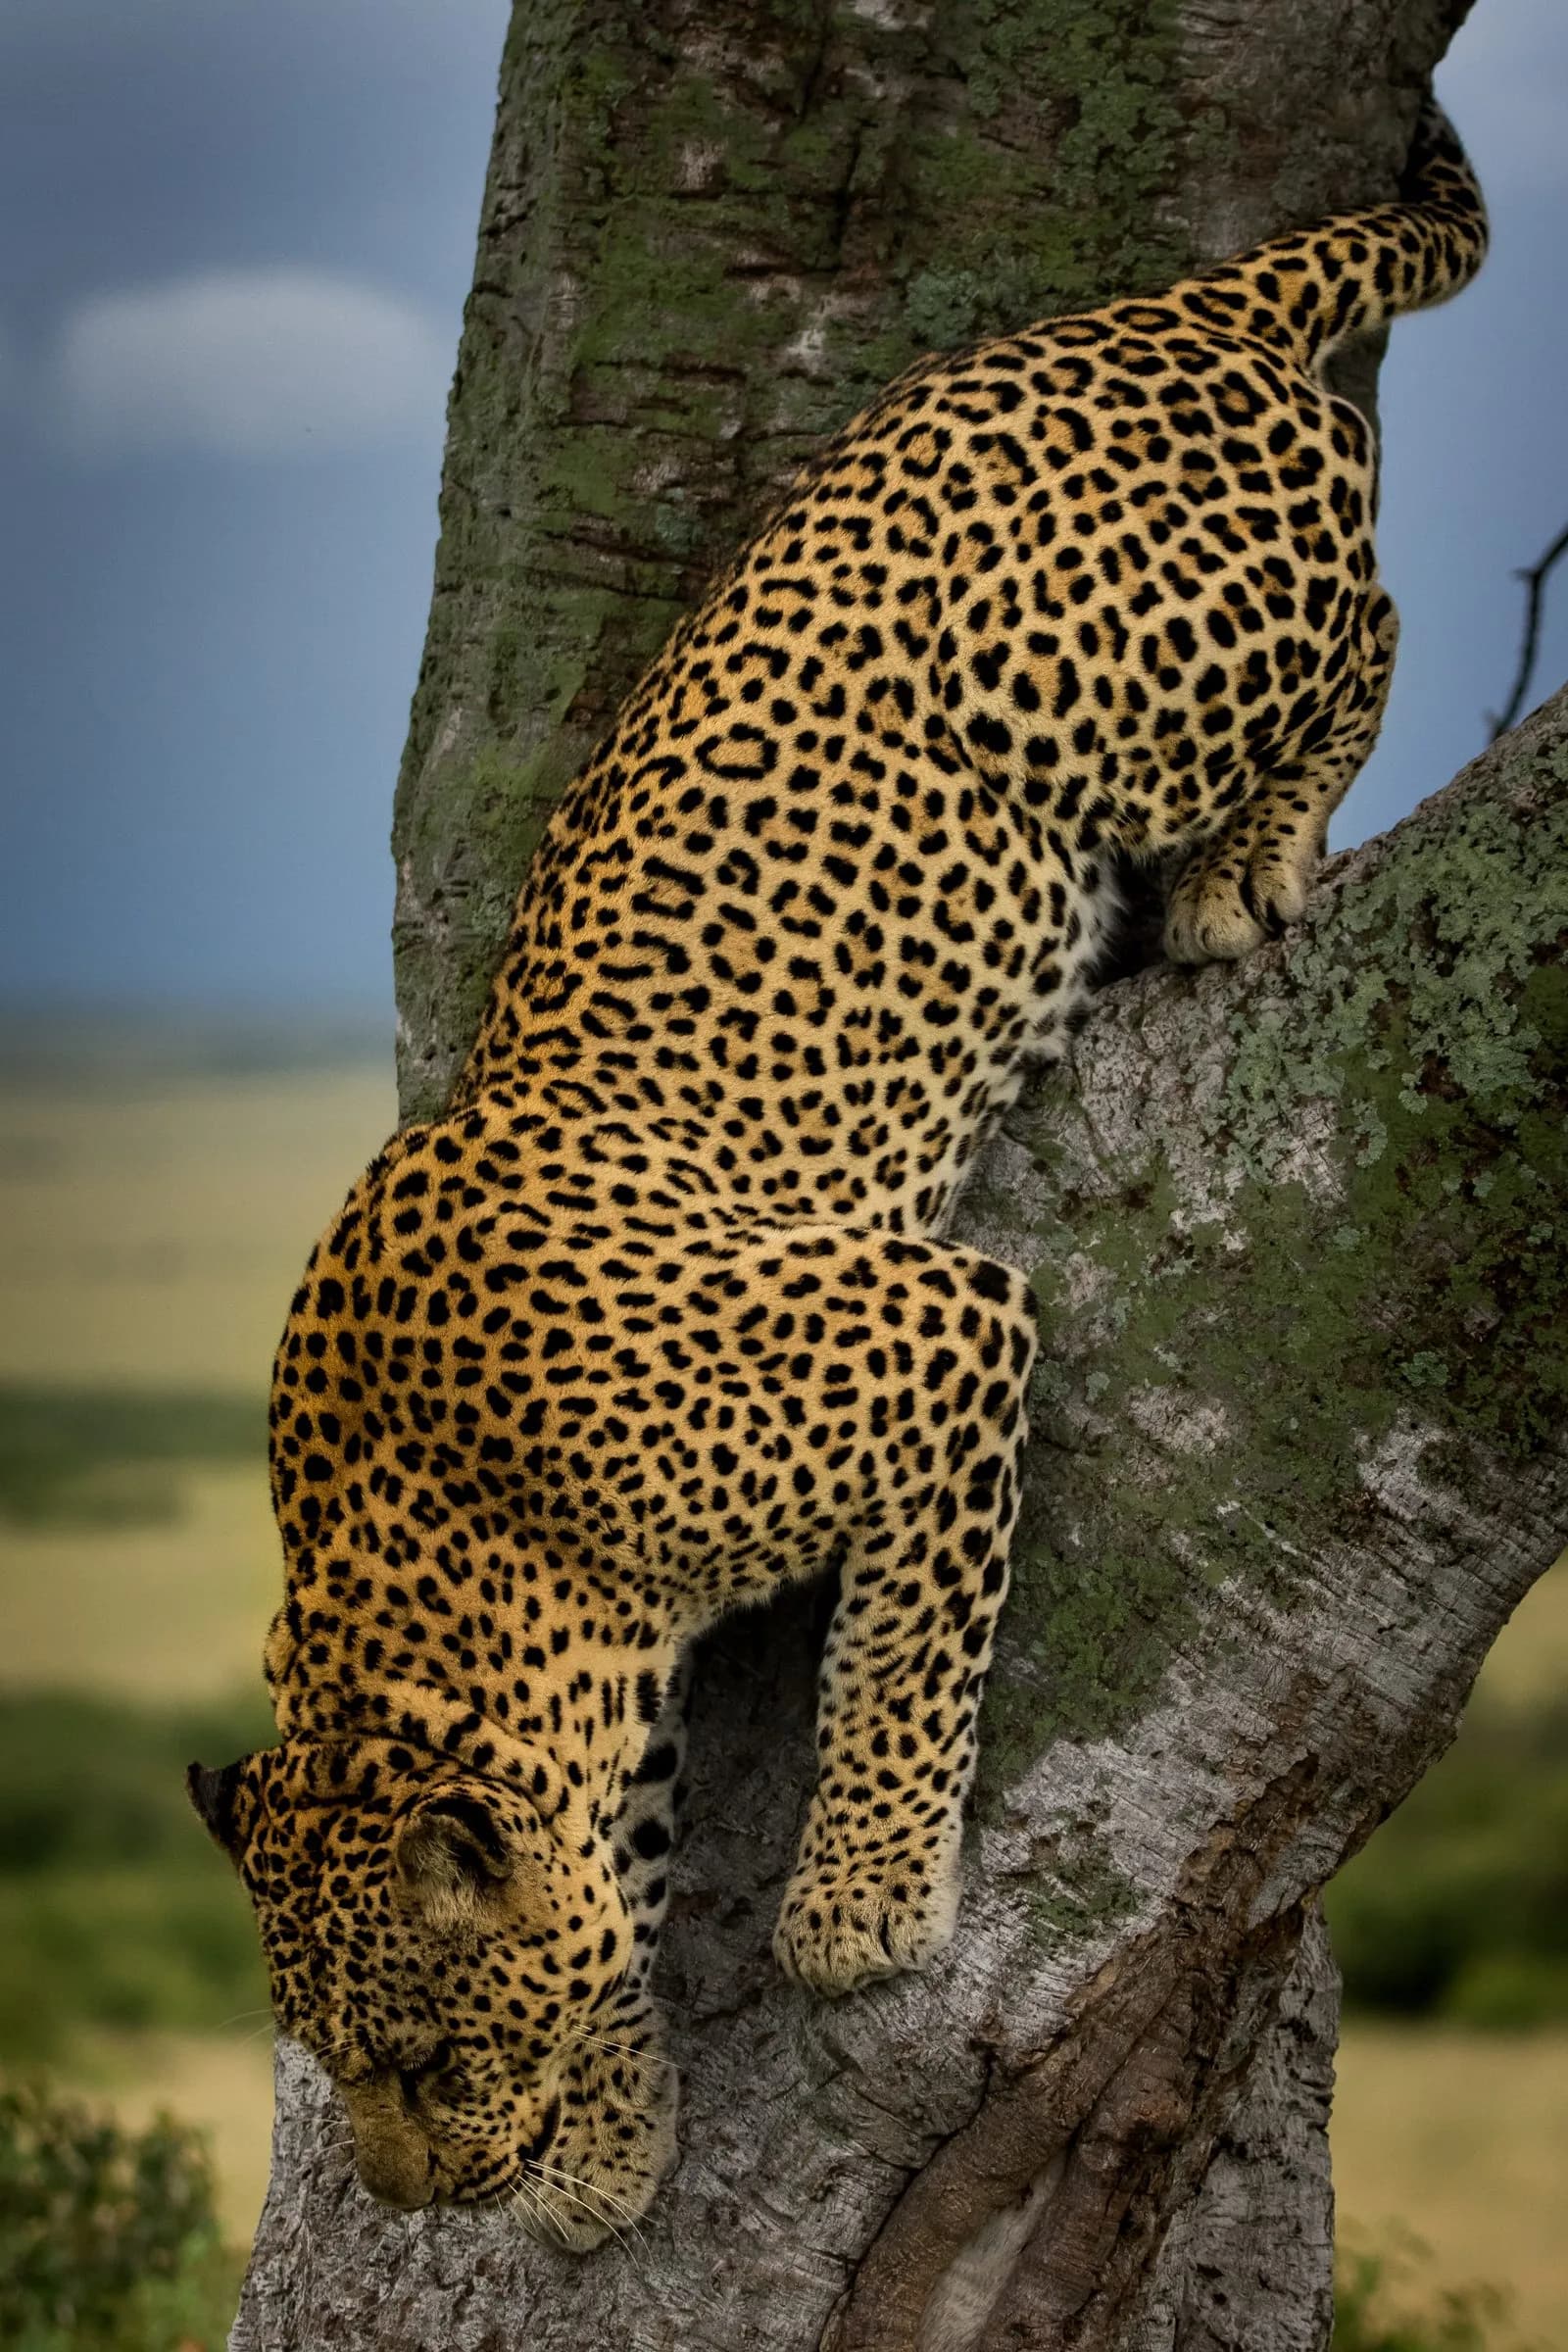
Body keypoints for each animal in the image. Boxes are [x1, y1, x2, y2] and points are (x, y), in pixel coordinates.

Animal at [189, 104, 1486, 2249]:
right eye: (333, 2064)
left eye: (422, 2060)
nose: (420, 2200)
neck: (439, 1538)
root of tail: (1164, 312)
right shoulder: (596, 1706)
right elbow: (612, 1898)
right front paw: (610, 2139)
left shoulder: (929, 1332)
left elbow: (903, 1644)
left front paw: (861, 1904)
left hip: (1111, 691)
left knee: (1373, 632)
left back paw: (1246, 871)